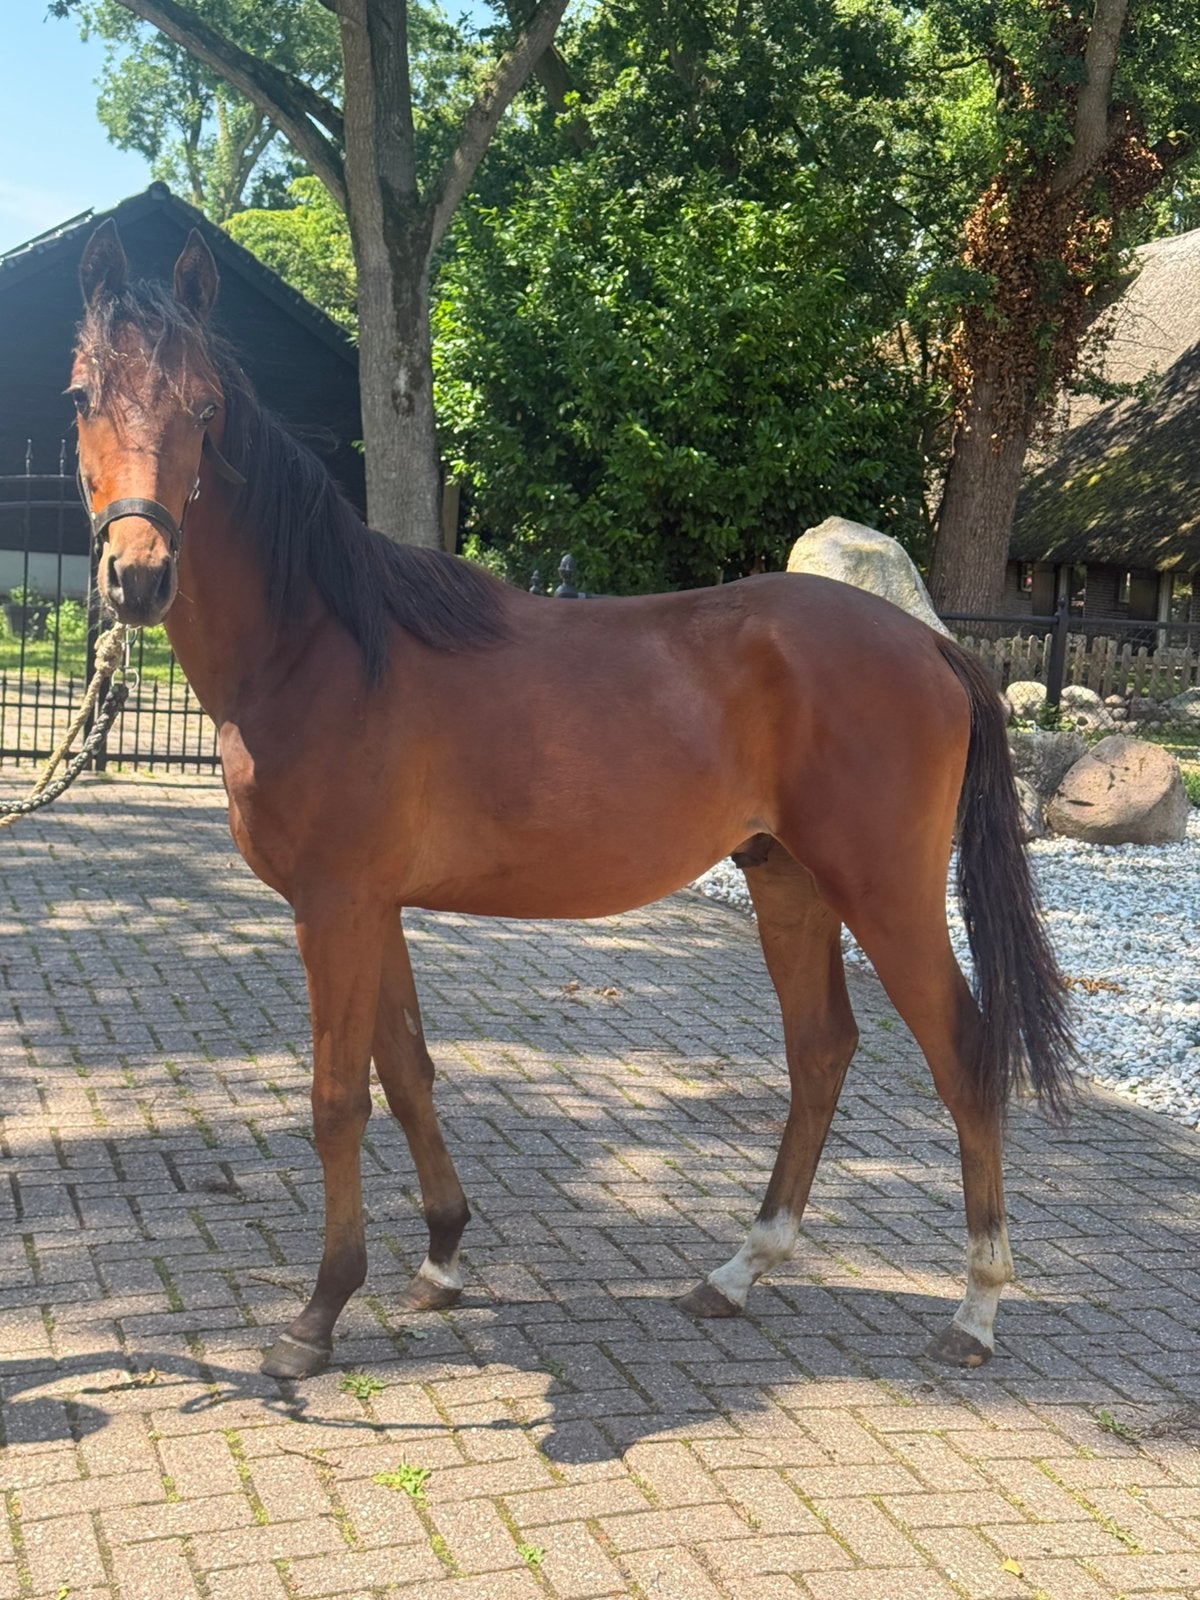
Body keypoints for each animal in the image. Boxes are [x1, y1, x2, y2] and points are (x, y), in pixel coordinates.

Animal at [68, 220, 1074, 1382]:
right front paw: (442, 1256)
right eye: (83, 393)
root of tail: (932, 644)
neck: (321, 644)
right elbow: (408, 1071)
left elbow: (337, 1099)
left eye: (204, 406)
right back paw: (740, 1269)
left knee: (963, 1052)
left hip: (886, 891)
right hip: (788, 880)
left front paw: (317, 1315)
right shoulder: (375, 908)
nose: (138, 577)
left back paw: (976, 1305)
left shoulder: (334, 905)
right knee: (821, 1050)